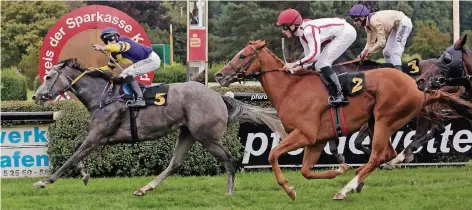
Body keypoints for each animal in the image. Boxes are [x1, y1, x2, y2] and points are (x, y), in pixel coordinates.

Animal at [33, 58, 286, 196]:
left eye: (48, 77)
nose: (36, 96)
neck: (104, 96)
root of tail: (218, 96)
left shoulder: (98, 135)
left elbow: (72, 156)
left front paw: (45, 181)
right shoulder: (104, 136)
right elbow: (76, 148)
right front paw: (85, 175)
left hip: (207, 137)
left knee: (230, 160)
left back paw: (229, 192)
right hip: (187, 133)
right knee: (175, 163)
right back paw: (145, 188)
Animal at [216, 40, 472, 200]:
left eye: (243, 55)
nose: (219, 74)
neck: (291, 89)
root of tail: (416, 85)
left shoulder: (304, 134)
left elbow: (272, 154)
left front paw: (289, 190)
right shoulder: (316, 140)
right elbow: (306, 171)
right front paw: (338, 169)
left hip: (384, 119)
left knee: (378, 155)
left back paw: (346, 189)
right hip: (377, 123)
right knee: (386, 154)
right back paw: (362, 179)